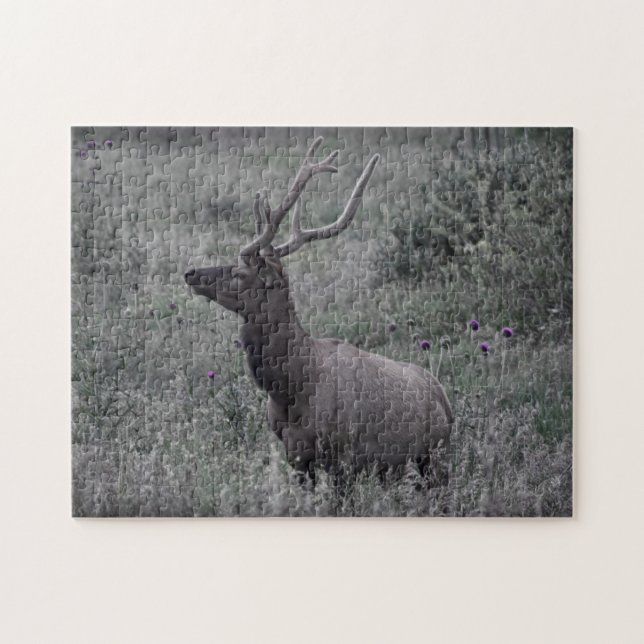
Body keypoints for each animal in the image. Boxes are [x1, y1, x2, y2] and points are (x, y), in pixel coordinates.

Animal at [185, 137, 453, 485]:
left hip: (435, 459)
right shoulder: (294, 454)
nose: (190, 272)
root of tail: (446, 403)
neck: (293, 389)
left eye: (240, 272)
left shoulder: (343, 454)